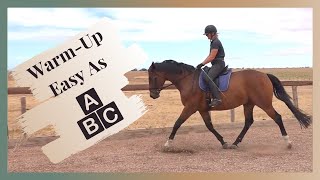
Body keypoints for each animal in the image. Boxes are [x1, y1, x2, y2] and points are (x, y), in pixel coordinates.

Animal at [149, 59, 312, 148]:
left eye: (153, 77)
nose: (153, 95)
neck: (189, 81)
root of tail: (264, 75)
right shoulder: (202, 109)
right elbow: (209, 126)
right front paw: (223, 142)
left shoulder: (190, 107)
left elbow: (177, 123)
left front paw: (168, 144)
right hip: (249, 104)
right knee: (248, 122)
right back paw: (235, 143)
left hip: (264, 104)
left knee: (277, 117)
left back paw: (288, 142)